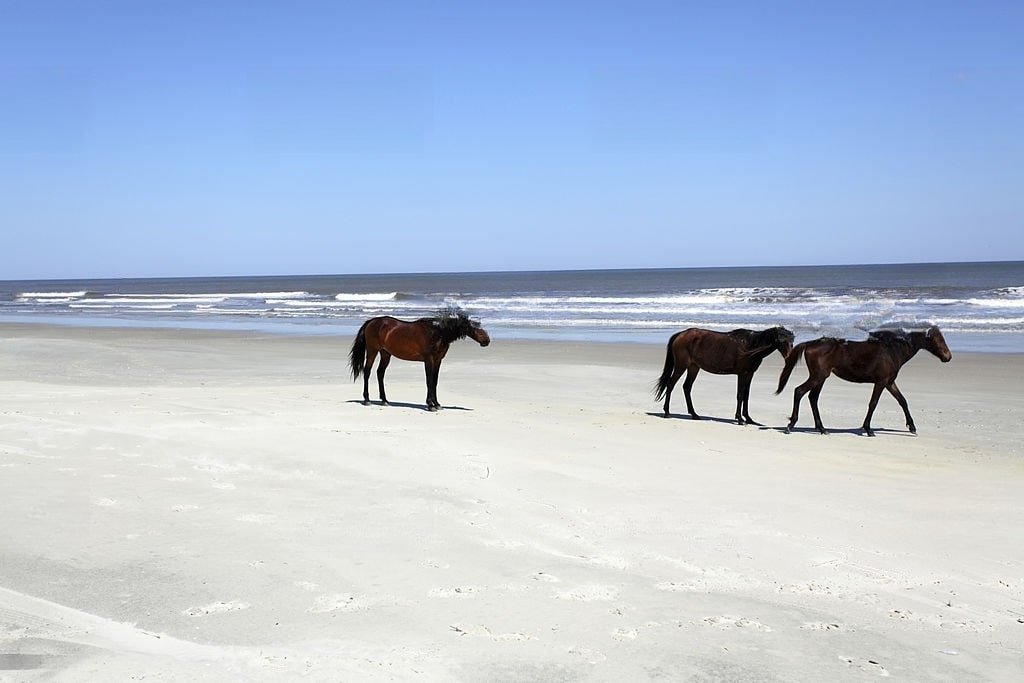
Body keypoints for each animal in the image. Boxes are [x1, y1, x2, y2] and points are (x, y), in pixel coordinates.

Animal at [348, 309, 491, 411]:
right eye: (474, 328)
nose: (487, 340)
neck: (437, 333)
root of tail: (371, 322)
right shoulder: (428, 360)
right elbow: (429, 381)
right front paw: (430, 405)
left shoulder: (438, 360)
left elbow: (435, 382)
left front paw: (437, 404)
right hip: (373, 351)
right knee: (367, 372)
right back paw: (367, 400)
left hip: (386, 353)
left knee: (380, 373)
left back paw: (384, 400)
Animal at [655, 327, 798, 428]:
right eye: (781, 341)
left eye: (792, 342)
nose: (789, 358)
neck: (751, 345)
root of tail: (680, 334)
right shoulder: (742, 374)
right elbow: (740, 395)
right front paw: (739, 419)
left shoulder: (750, 374)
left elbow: (746, 396)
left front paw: (749, 419)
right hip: (681, 365)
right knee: (670, 384)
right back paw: (667, 413)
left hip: (694, 367)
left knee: (686, 387)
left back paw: (694, 414)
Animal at [774, 327, 950, 436]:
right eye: (937, 341)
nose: (948, 357)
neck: (892, 351)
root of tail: (810, 343)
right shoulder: (881, 382)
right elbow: (873, 403)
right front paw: (868, 429)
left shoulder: (889, 382)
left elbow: (902, 401)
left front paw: (912, 427)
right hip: (817, 377)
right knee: (799, 391)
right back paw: (791, 426)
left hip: (821, 378)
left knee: (812, 398)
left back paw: (822, 429)